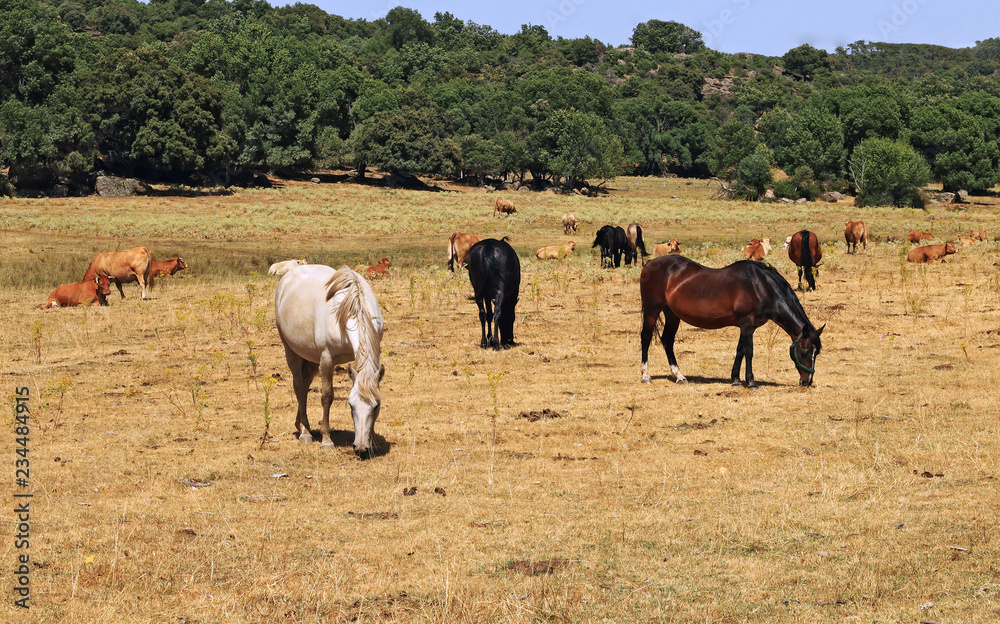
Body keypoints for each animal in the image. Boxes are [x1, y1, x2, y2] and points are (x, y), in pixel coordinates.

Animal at [274, 265, 385, 455]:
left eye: (376, 406)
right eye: (350, 405)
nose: (360, 447)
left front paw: (373, 442)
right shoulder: (326, 359)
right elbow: (327, 396)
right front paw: (326, 440)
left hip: (310, 358)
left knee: (304, 386)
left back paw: (300, 424)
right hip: (291, 351)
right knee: (299, 387)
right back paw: (305, 432)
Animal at [639, 255, 824, 388]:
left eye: (817, 352)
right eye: (805, 350)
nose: (807, 381)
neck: (761, 286)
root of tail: (650, 263)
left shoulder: (747, 326)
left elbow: (739, 350)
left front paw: (735, 379)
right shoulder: (747, 323)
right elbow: (749, 351)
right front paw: (751, 382)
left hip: (672, 314)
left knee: (667, 340)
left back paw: (679, 376)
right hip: (652, 310)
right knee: (646, 338)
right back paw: (646, 375)